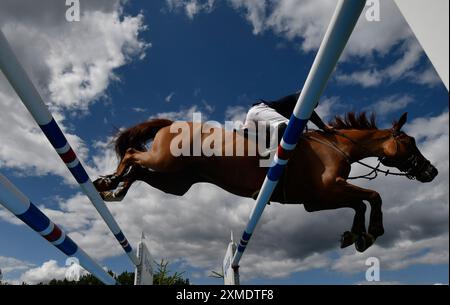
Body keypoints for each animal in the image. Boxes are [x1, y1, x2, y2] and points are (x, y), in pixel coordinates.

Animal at [94, 112, 436, 252]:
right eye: (409, 141)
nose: (431, 172)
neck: (337, 147)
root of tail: (171, 123)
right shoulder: (327, 190)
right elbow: (373, 195)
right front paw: (372, 231)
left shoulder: (317, 200)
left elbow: (359, 202)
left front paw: (356, 236)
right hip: (165, 162)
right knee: (132, 154)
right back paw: (107, 181)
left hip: (176, 182)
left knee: (139, 171)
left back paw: (114, 190)